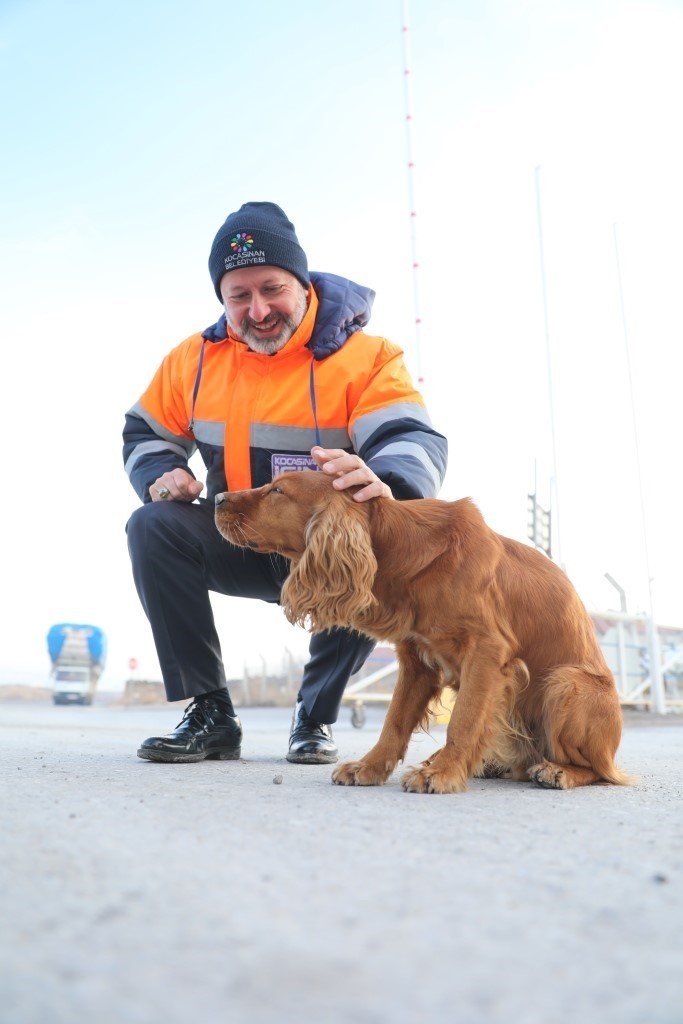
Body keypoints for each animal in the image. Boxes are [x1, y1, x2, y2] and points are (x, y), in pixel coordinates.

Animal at [214, 471, 630, 790]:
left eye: (278, 490)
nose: (216, 496)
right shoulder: (416, 660)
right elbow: (394, 721)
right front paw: (368, 767)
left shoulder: (488, 652)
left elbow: (463, 719)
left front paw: (443, 774)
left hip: (566, 682)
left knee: (599, 771)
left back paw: (557, 771)